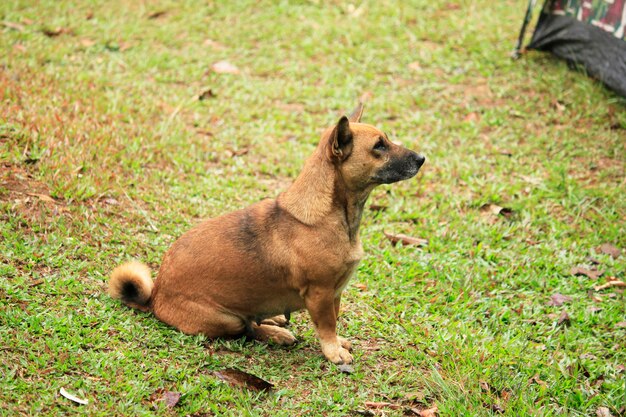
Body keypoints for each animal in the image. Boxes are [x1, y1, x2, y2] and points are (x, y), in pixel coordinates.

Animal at [109, 105, 424, 364]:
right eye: (379, 146)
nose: (422, 158)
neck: (332, 215)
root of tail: (155, 298)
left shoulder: (335, 292)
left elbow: (335, 319)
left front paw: (338, 343)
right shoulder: (320, 294)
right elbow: (327, 325)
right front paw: (333, 351)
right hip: (226, 319)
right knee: (247, 330)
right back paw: (275, 334)